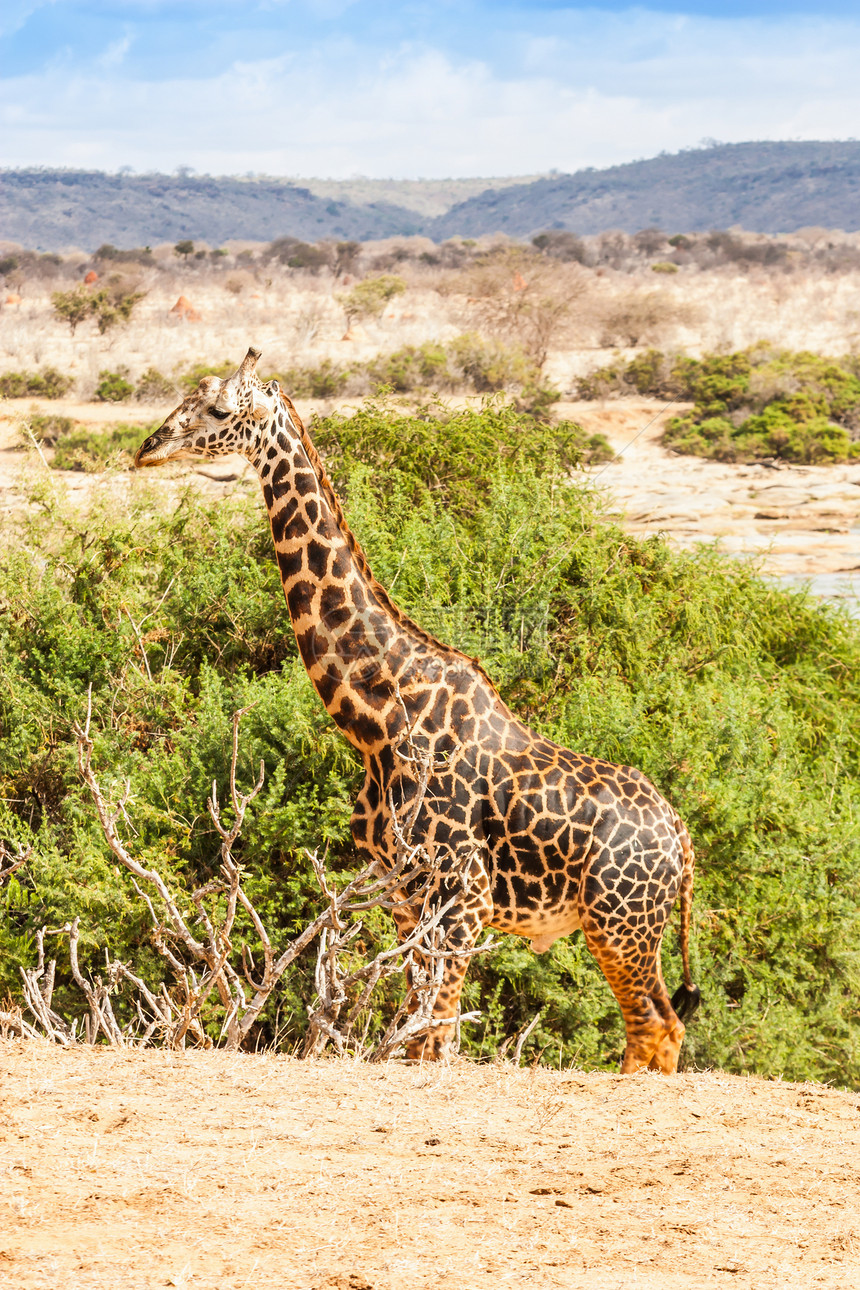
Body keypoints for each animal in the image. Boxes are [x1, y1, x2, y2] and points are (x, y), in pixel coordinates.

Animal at [132, 348, 701, 1073]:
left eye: (219, 409)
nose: (148, 448)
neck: (378, 718)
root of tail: (681, 838)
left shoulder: (461, 897)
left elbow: (437, 1039)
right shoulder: (402, 891)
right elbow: (418, 1036)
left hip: (622, 922)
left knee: (656, 1024)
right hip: (624, 925)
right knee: (656, 1024)